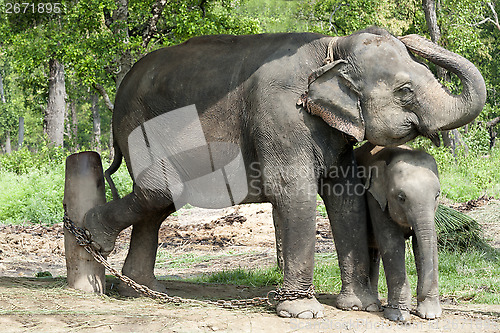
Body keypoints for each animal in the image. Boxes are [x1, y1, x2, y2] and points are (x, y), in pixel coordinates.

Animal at [356, 141, 442, 320]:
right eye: (401, 197)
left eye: (437, 195)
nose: (419, 295)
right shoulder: (375, 199)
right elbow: (392, 242)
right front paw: (397, 315)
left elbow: (428, 243)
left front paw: (430, 315)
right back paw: (373, 306)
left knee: (374, 253)